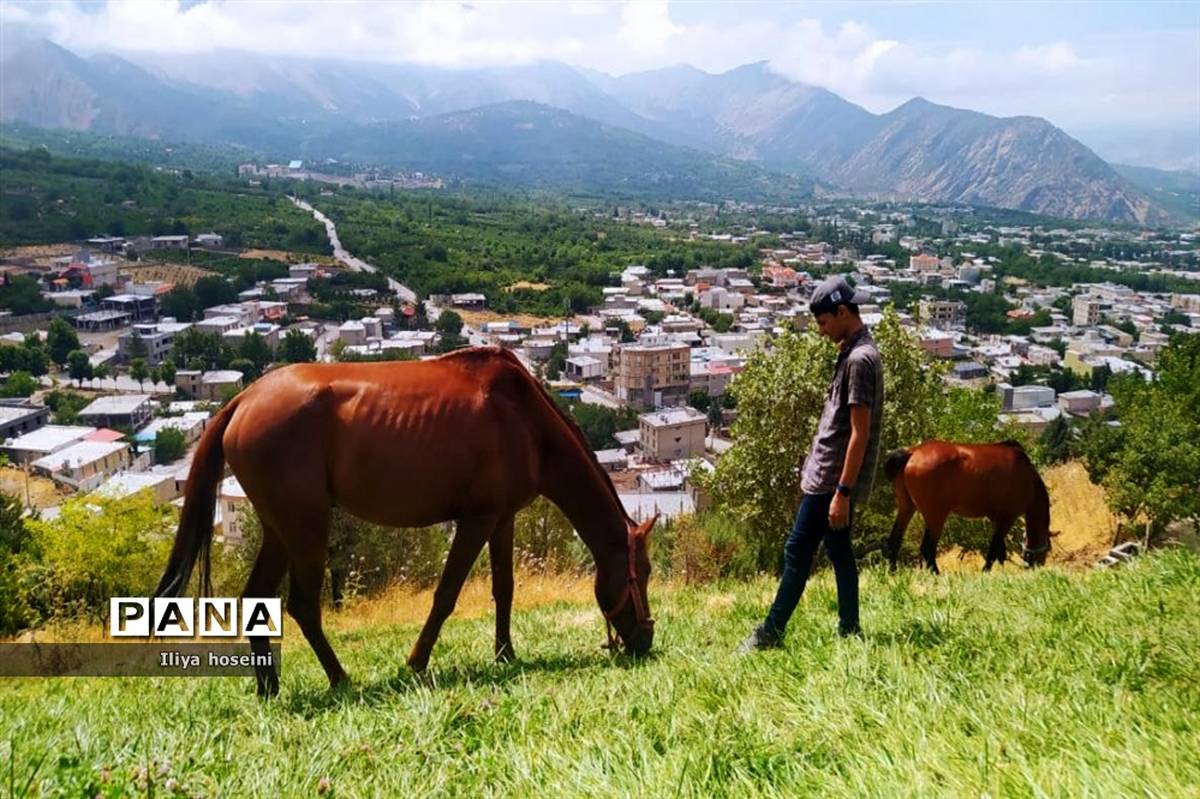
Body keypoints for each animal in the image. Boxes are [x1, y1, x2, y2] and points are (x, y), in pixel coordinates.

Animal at [154, 345, 657, 695]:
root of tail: (242, 400)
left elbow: (505, 588)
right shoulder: (476, 519)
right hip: (306, 527)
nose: (645, 640)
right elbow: (447, 594)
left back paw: (268, 687)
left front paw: (505, 653)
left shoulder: (502, 517)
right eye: (644, 574)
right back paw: (340, 678)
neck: (524, 420)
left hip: (281, 530)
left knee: (257, 599)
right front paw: (417, 661)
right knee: (302, 605)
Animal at [883, 439, 1051, 568]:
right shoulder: (1007, 518)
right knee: (927, 549)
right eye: (1047, 549)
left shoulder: (996, 519)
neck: (1027, 477)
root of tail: (913, 451)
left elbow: (1000, 552)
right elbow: (993, 551)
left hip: (907, 508)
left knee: (894, 542)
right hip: (936, 515)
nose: (1037, 565)